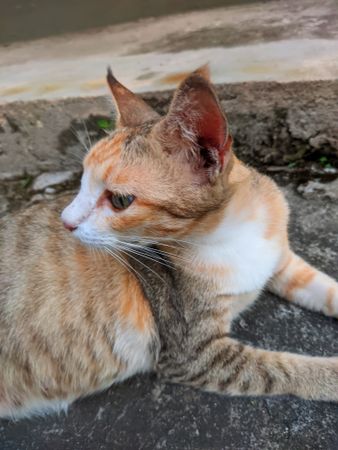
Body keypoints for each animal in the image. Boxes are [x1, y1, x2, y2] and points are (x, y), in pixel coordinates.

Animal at [0, 65, 338, 420]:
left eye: (119, 200)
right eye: (81, 183)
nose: (65, 221)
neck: (233, 231)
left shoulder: (281, 260)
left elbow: (325, 289)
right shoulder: (193, 353)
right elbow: (282, 368)